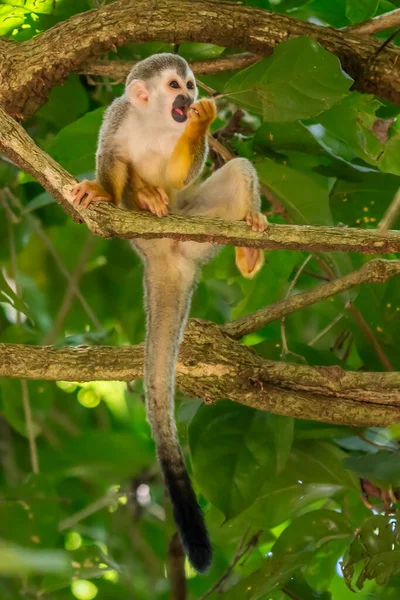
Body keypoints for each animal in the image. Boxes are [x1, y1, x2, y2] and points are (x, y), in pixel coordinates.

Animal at [71, 54, 266, 576]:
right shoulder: (116, 118)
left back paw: (249, 241)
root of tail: (165, 257)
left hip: (196, 226)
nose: (190, 97)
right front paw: (111, 191)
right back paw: (143, 199)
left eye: (191, 85)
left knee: (236, 169)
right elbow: (112, 164)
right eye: (175, 85)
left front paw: (202, 122)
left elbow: (181, 174)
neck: (157, 122)